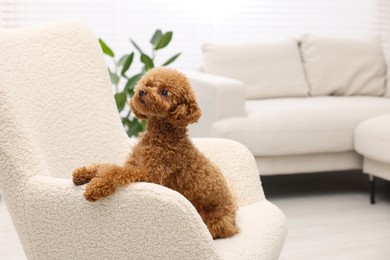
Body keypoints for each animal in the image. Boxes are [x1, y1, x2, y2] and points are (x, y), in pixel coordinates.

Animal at [72, 67, 239, 240]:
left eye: (164, 92)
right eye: (148, 83)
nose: (141, 91)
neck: (158, 138)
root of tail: (233, 204)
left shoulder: (151, 175)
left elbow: (117, 171)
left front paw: (95, 187)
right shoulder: (133, 163)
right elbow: (107, 166)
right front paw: (83, 173)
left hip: (218, 220)